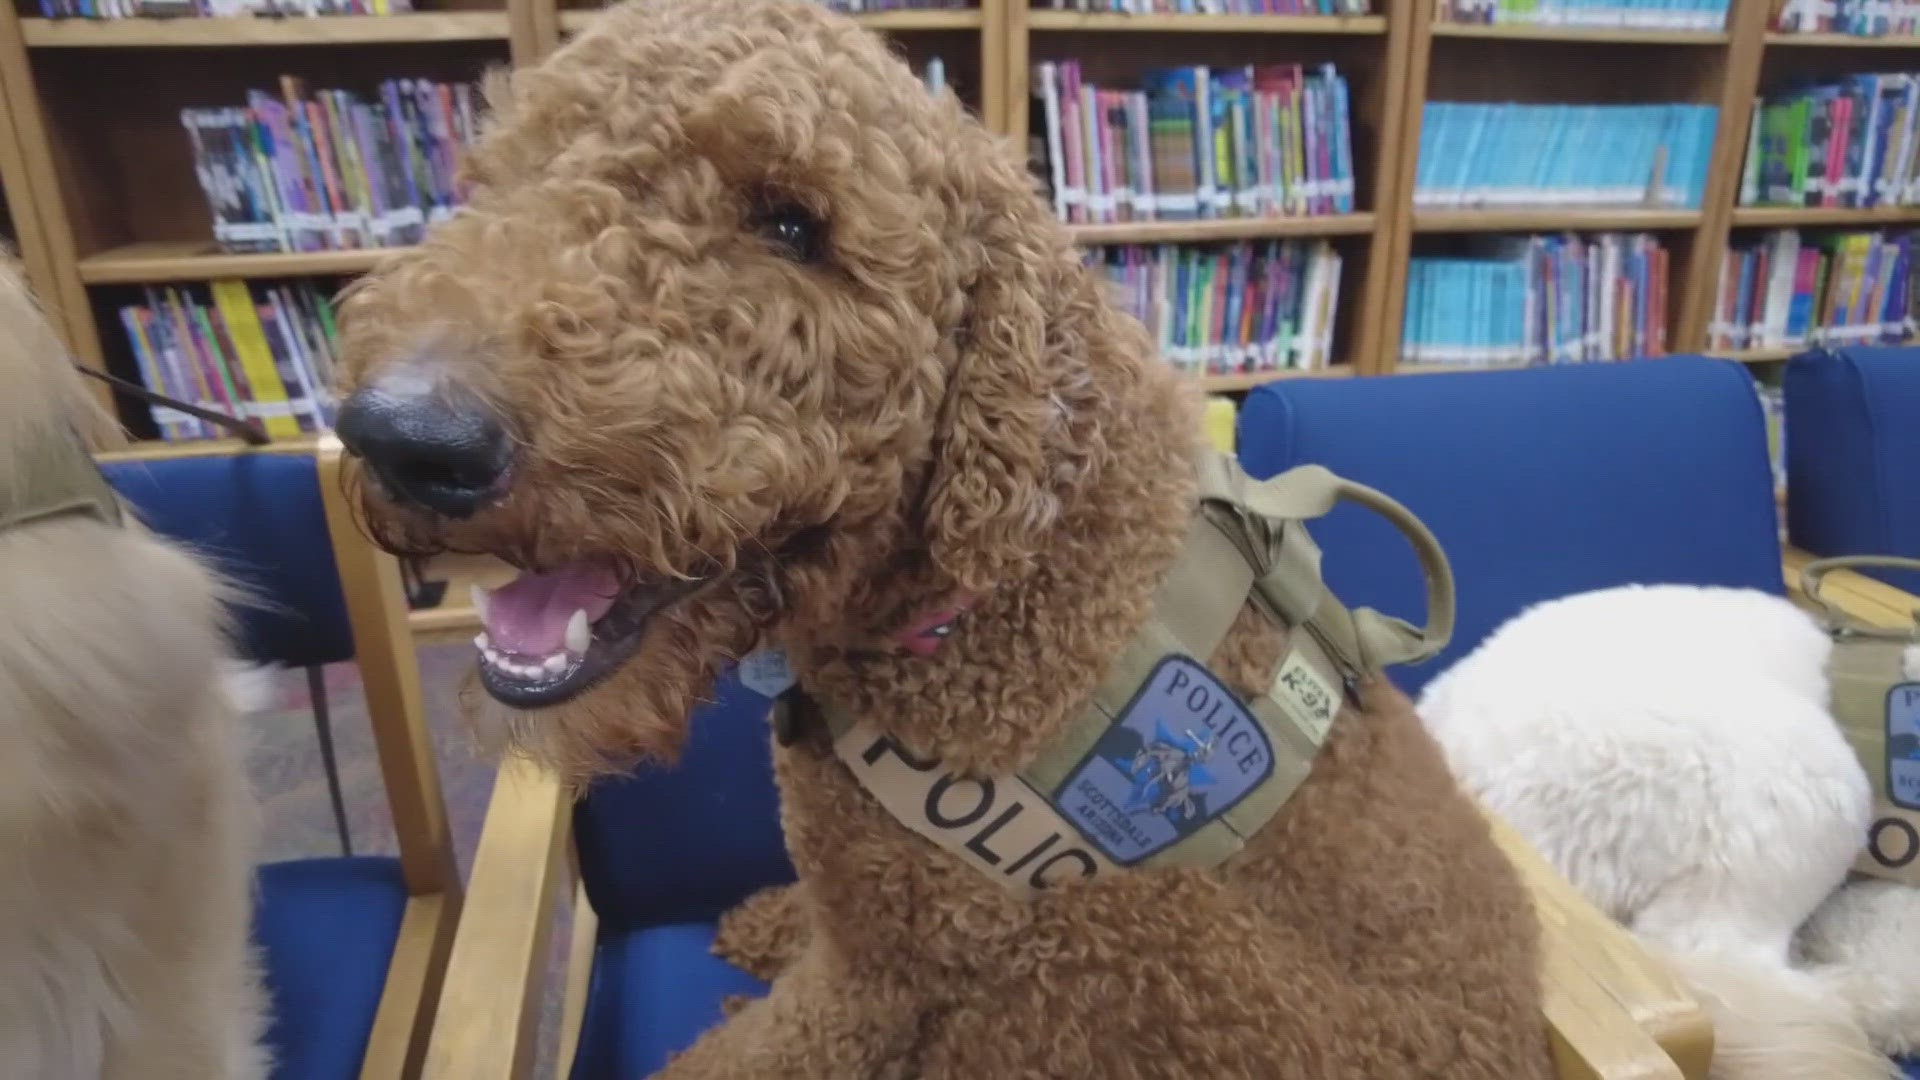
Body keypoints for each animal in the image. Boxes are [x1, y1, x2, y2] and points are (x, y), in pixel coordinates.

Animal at [330, 4, 1559, 1068]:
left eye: (793, 224)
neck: (1004, 577)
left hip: (1134, 940)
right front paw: (778, 922)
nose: (404, 436)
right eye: (511, 173)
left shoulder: (888, 974)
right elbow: (817, 923)